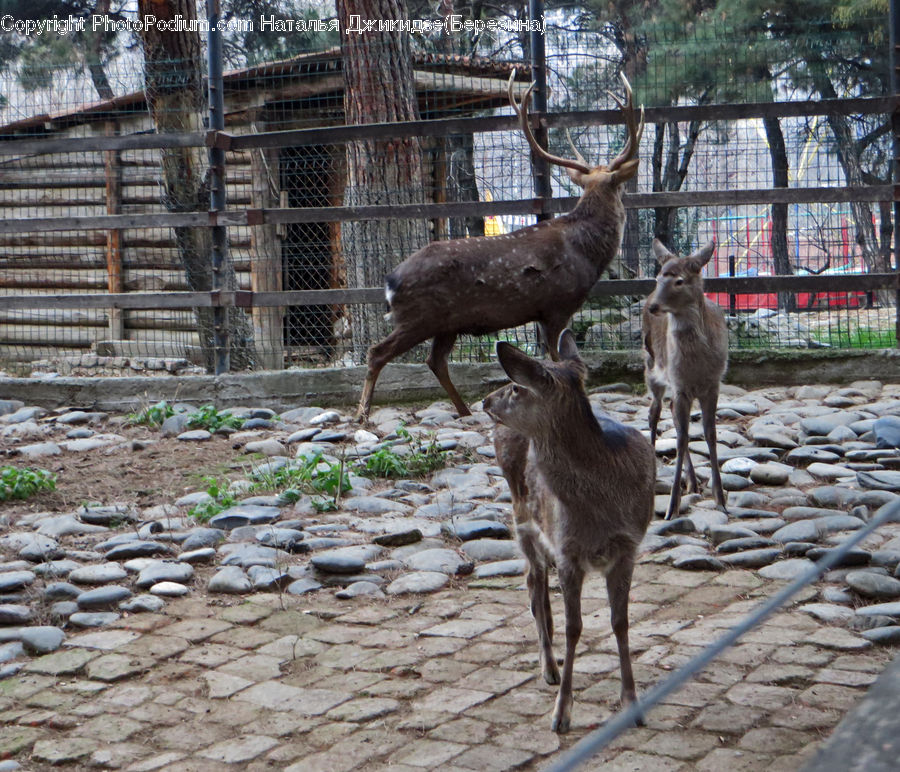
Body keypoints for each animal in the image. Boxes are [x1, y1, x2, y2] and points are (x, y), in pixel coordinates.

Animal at [354, 71, 644, 421]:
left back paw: (465, 410)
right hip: (418, 317)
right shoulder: (557, 305)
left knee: (435, 361)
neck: (585, 251)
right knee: (378, 352)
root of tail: (390, 281)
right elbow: (557, 359)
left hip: (447, 323)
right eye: (621, 190)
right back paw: (362, 412)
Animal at [482, 329, 655, 734]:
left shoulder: (628, 547)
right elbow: (574, 627)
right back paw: (549, 668)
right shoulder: (568, 551)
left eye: (517, 387)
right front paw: (561, 714)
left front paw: (632, 703)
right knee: (533, 583)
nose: (485, 401)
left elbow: (620, 622)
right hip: (522, 519)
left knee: (538, 586)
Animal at [643, 239, 729, 521]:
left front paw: (720, 498)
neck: (697, 366)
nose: (654, 307)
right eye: (658, 277)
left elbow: (710, 433)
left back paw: (692, 481)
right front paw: (672, 506)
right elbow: (680, 439)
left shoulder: (713, 385)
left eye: (679, 280)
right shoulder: (679, 385)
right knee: (654, 412)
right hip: (652, 368)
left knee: (671, 414)